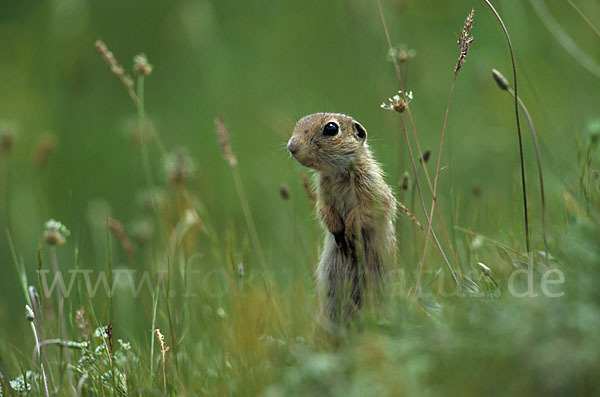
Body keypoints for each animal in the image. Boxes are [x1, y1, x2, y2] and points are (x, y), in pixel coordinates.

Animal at [288, 112, 396, 322]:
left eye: (331, 128)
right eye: (298, 123)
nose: (291, 147)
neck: (337, 174)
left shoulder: (371, 186)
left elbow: (369, 209)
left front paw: (349, 231)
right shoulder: (323, 191)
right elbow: (324, 210)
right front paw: (338, 231)